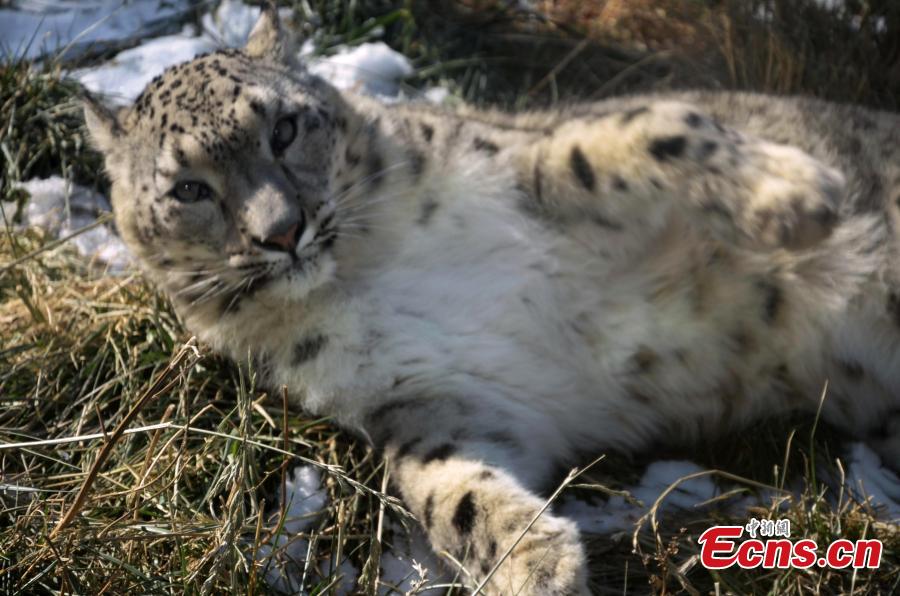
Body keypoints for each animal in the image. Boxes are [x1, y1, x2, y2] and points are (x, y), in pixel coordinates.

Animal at [83, 6, 900, 594]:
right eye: (189, 189)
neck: (366, 272)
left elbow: (648, 129)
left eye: (283, 127)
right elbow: (440, 486)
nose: (283, 231)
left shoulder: (529, 162)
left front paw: (795, 198)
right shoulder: (425, 398)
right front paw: (535, 562)